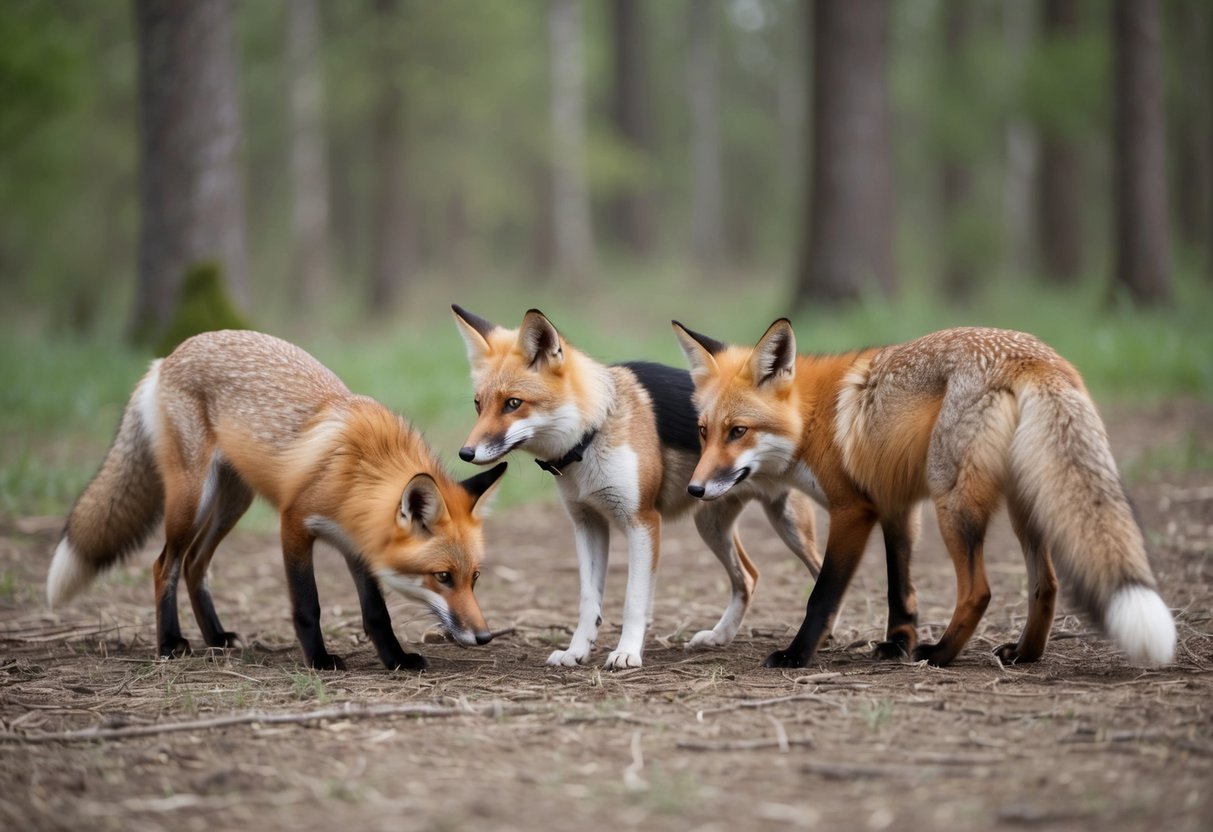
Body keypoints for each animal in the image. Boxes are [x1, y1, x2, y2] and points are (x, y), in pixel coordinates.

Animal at [47, 329, 508, 671]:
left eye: (475, 578)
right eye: (443, 576)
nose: (485, 636)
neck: (362, 467)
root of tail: (168, 356)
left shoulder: (356, 545)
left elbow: (377, 613)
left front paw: (395, 659)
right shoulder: (295, 525)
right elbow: (308, 605)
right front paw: (319, 660)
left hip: (233, 503)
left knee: (196, 564)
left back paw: (216, 637)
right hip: (191, 500)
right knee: (165, 565)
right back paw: (171, 643)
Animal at [451, 305, 824, 669]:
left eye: (513, 403)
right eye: (478, 404)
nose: (465, 453)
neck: (592, 433)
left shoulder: (642, 522)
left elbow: (634, 601)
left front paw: (627, 653)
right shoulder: (588, 523)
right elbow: (589, 601)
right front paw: (576, 651)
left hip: (791, 528)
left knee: (819, 574)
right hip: (710, 527)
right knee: (748, 576)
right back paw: (720, 636)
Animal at [672, 318, 1177, 669]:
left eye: (738, 431)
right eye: (703, 432)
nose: (696, 488)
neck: (812, 420)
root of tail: (1033, 355)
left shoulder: (854, 510)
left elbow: (822, 594)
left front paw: (796, 656)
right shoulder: (896, 504)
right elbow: (901, 588)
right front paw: (898, 642)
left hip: (951, 500)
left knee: (978, 591)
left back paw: (940, 655)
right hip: (1022, 503)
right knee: (1046, 584)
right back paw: (1023, 654)